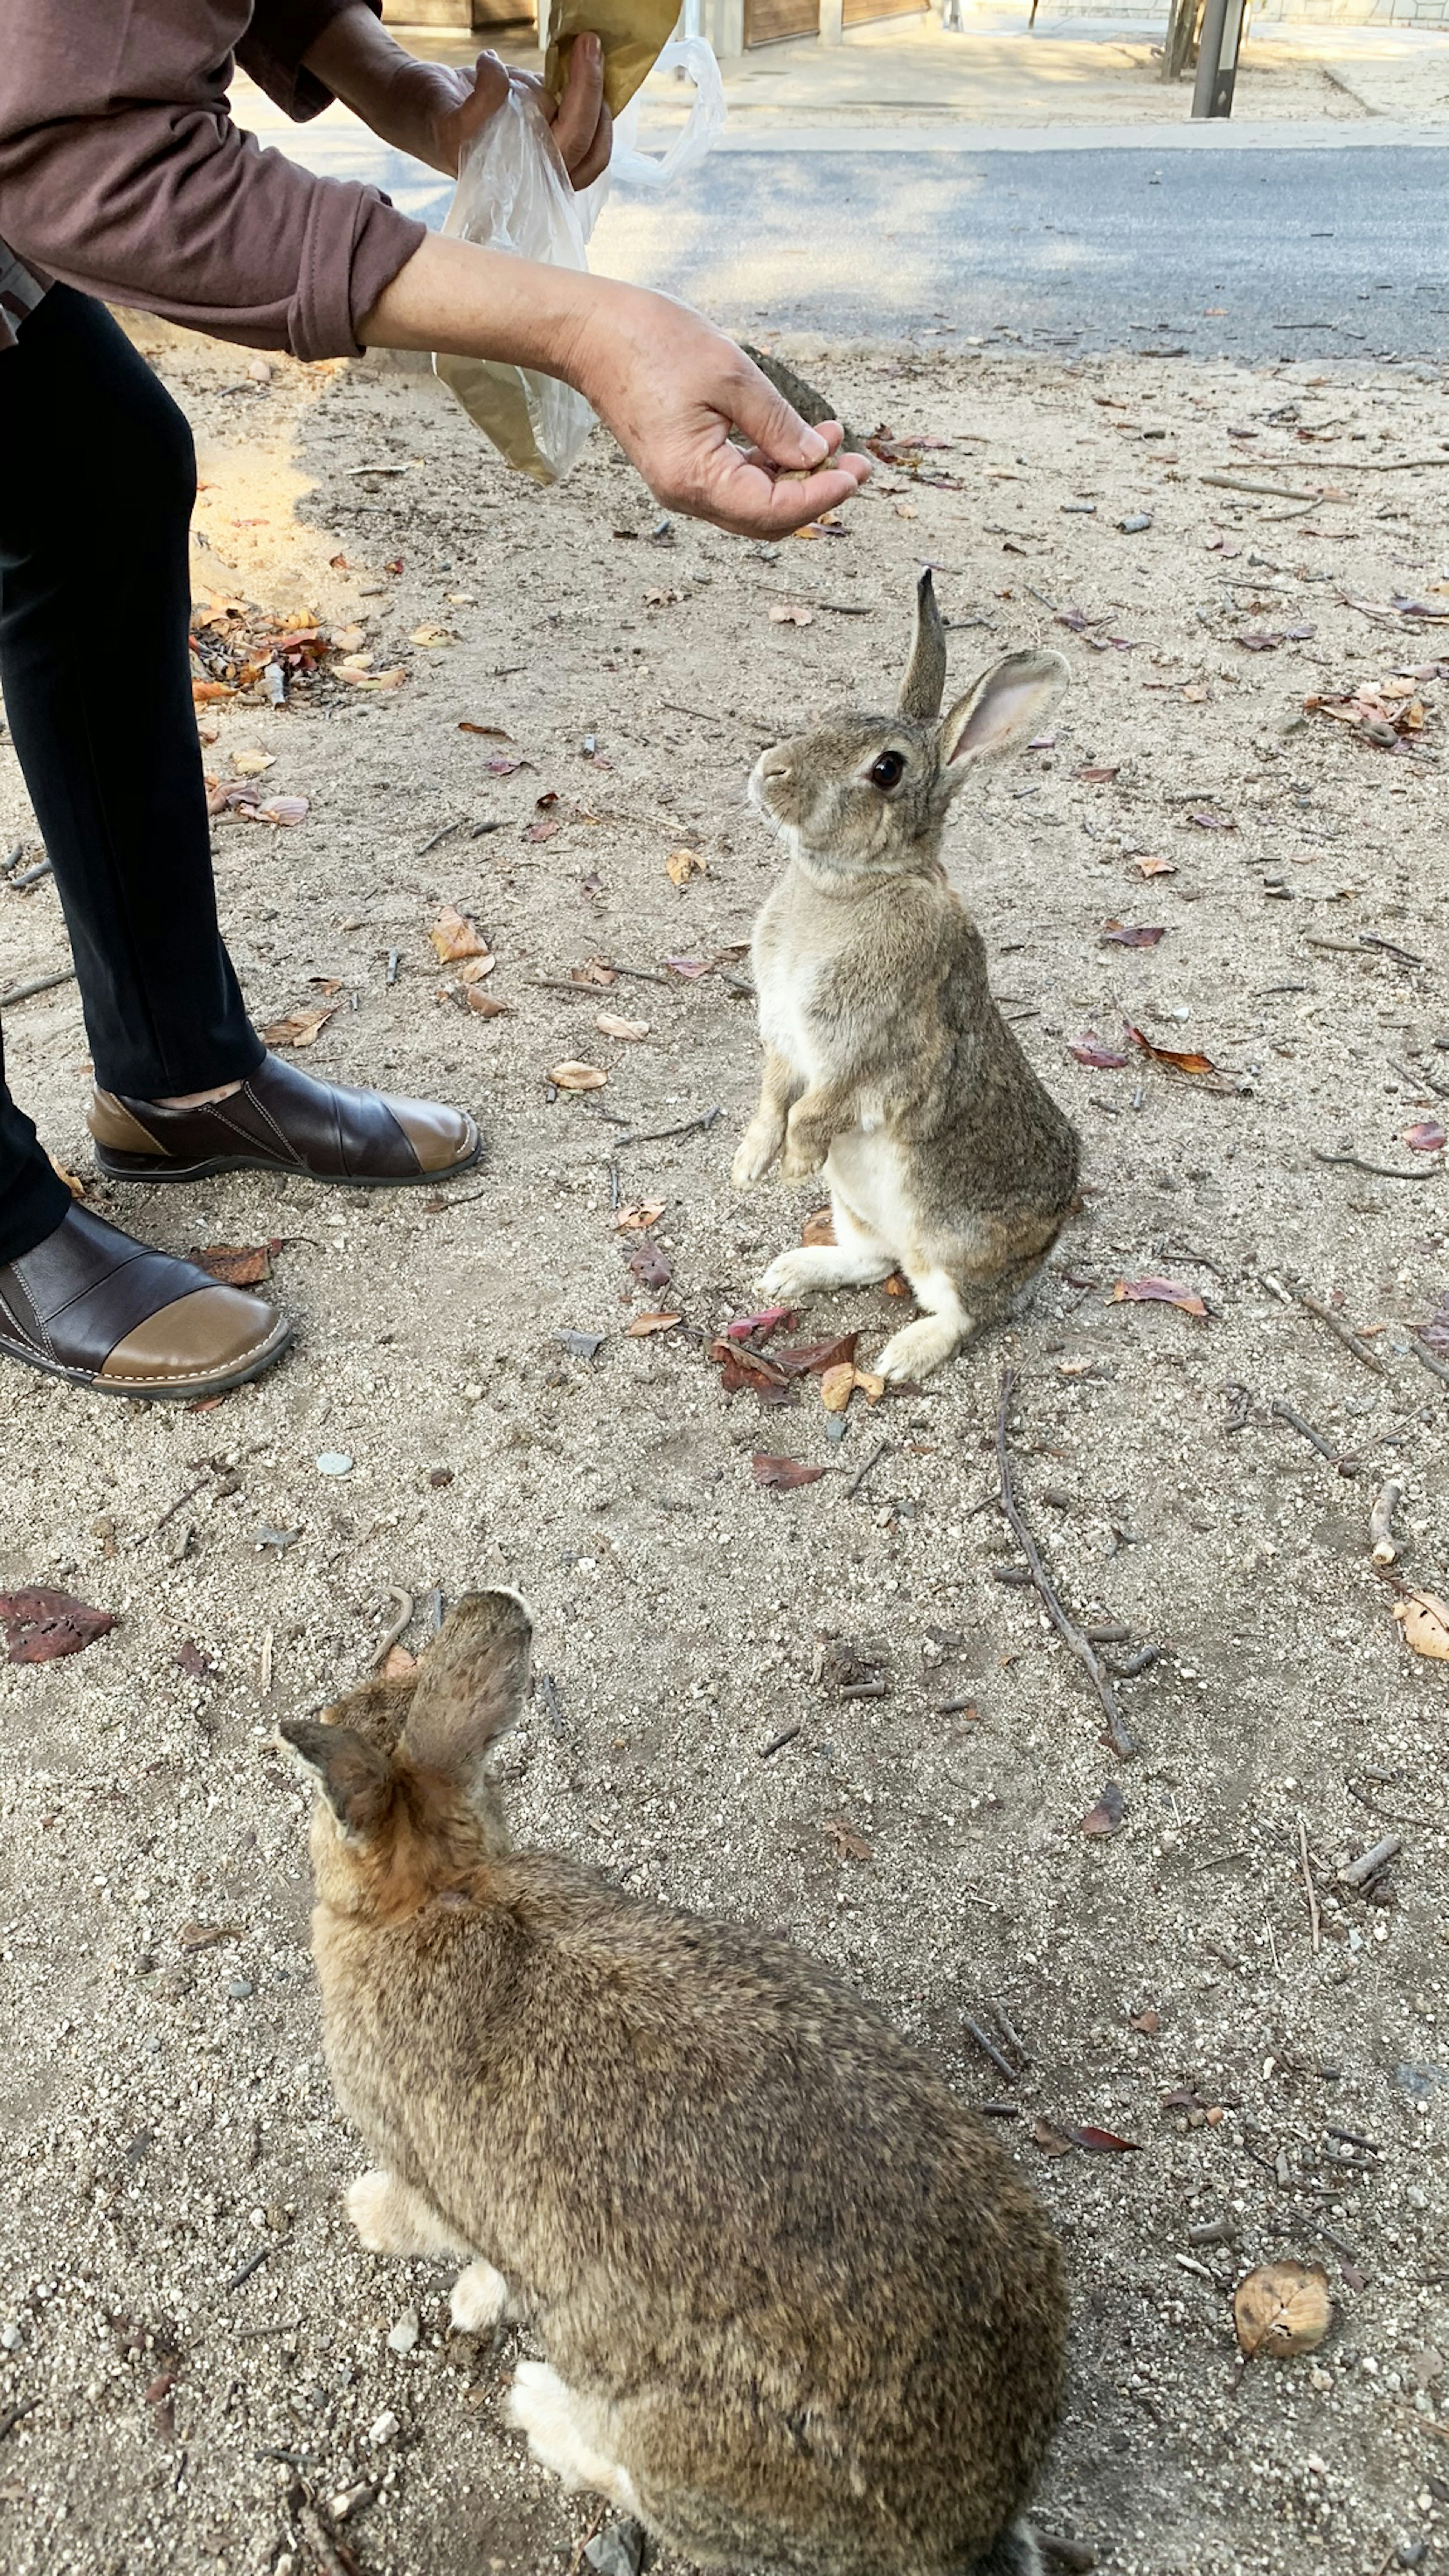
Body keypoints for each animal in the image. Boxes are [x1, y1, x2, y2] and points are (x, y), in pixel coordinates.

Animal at [283, 1587, 1071, 2576]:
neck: (435, 1890)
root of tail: (970, 2522)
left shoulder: (423, 2160)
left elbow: (438, 2223)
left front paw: (380, 2225)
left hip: (677, 2441)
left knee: (635, 2482)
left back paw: (538, 2406)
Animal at [736, 579, 1076, 1391]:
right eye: (833, 716)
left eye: (886, 770)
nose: (771, 772)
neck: (850, 885)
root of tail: (1049, 1239)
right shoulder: (785, 1042)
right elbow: (773, 1094)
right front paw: (751, 1164)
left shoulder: (880, 1052)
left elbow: (822, 1106)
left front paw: (792, 1164)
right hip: (858, 1210)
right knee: (871, 1261)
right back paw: (791, 1272)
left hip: (953, 1243)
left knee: (961, 1313)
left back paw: (902, 1356)